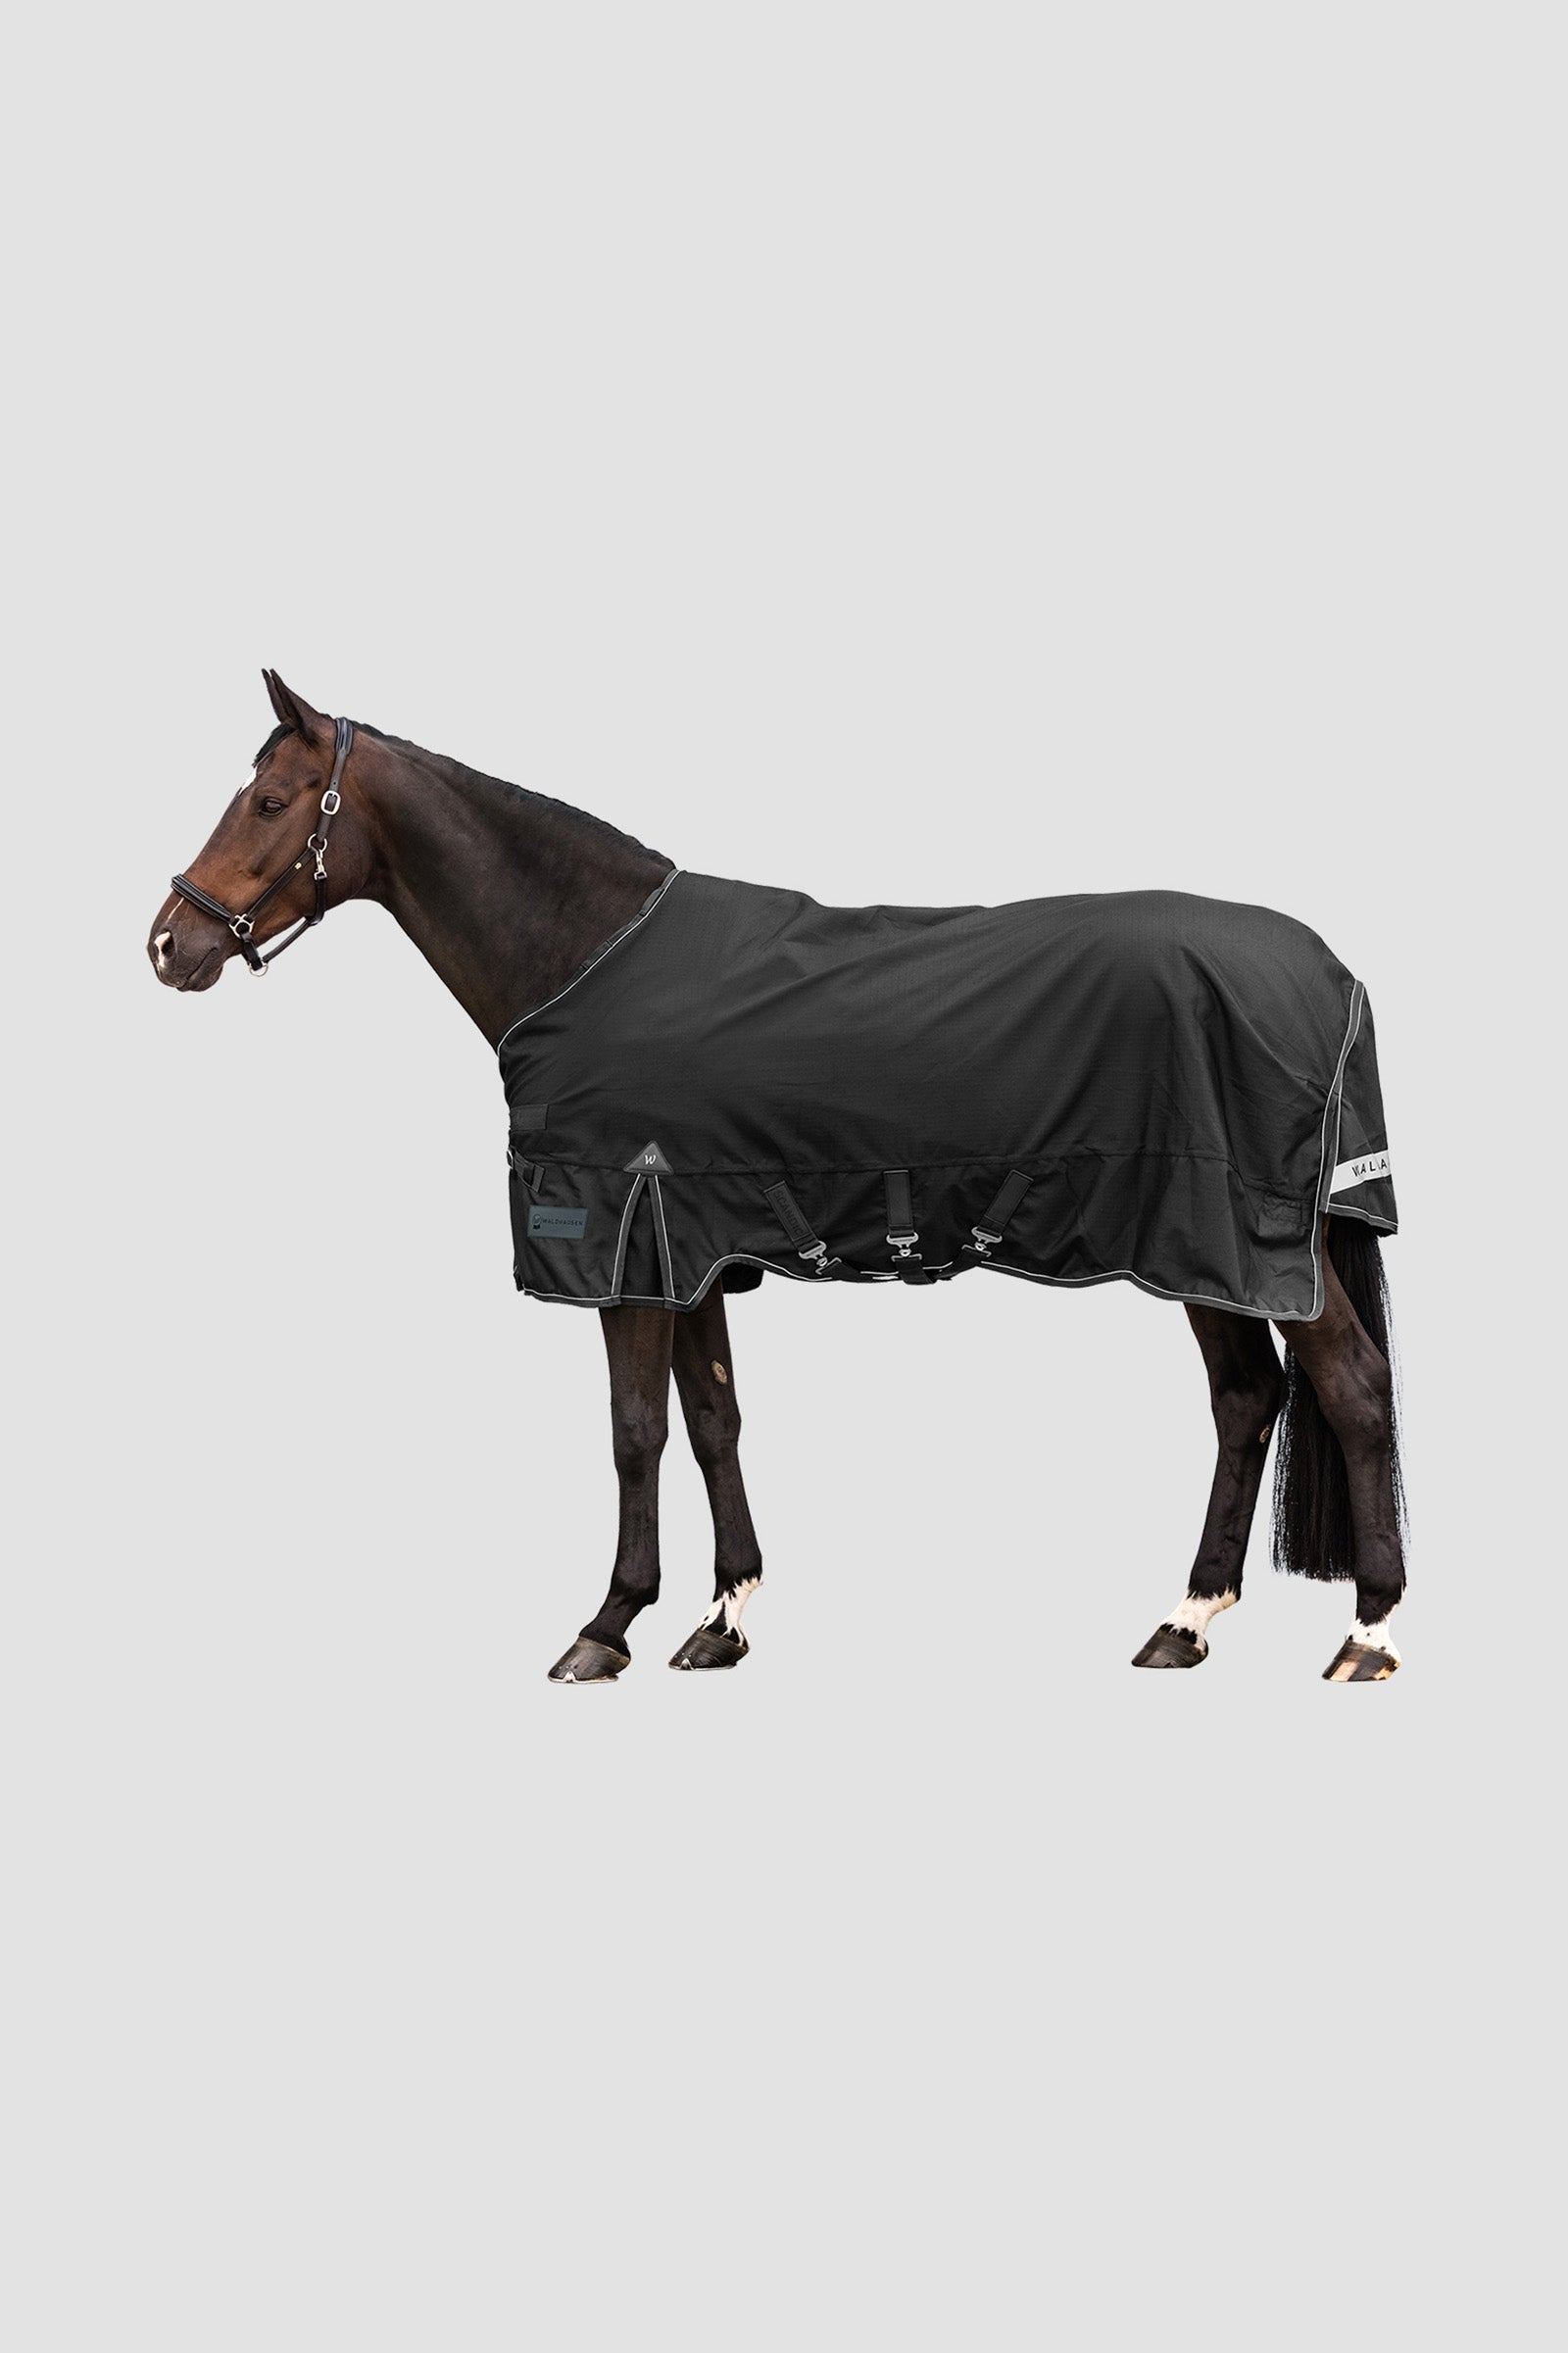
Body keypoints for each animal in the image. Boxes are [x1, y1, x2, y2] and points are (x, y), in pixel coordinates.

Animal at [148, 671, 1407, 1686]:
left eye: (269, 802)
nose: (168, 943)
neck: (586, 954)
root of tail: (1329, 975)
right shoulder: (695, 1246)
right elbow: (714, 1420)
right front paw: (722, 1618)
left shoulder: (624, 1248)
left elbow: (634, 1432)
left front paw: (605, 1626)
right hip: (1205, 1252)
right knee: (1245, 1401)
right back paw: (1185, 1621)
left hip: (1238, 1238)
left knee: (1348, 1385)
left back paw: (1369, 1634)